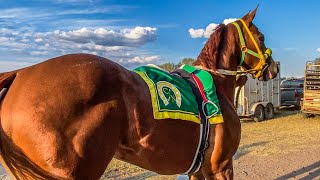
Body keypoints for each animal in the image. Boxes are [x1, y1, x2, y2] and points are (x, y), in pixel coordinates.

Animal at [0, 7, 278, 180]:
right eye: (261, 36)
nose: (274, 67)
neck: (216, 84)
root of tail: (21, 73)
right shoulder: (221, 166)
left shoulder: (198, 169)